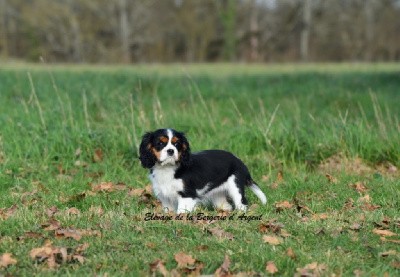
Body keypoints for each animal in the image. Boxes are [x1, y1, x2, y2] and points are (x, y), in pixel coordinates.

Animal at [139, 128, 268, 212]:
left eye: (177, 144)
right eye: (160, 143)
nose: (170, 151)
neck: (167, 168)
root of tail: (239, 161)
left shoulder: (187, 195)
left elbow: (181, 211)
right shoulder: (165, 196)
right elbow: (168, 210)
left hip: (235, 186)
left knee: (241, 203)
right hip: (218, 194)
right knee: (225, 205)